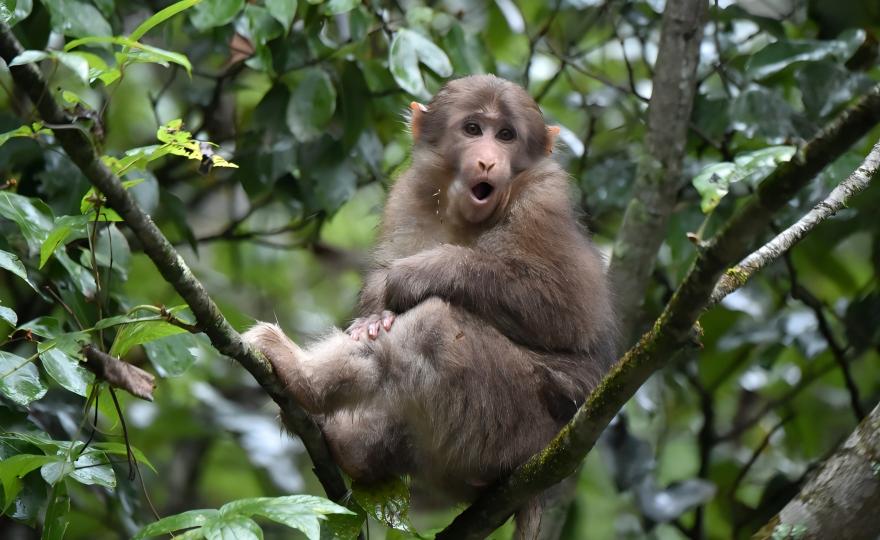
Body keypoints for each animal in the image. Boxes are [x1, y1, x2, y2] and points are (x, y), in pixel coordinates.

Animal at [243, 74, 617, 537]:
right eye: (473, 129)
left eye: (506, 135)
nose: (489, 161)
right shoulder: (409, 192)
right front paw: (373, 315)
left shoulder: (544, 203)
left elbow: (567, 311)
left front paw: (412, 277)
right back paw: (351, 446)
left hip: (518, 423)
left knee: (435, 327)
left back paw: (302, 376)